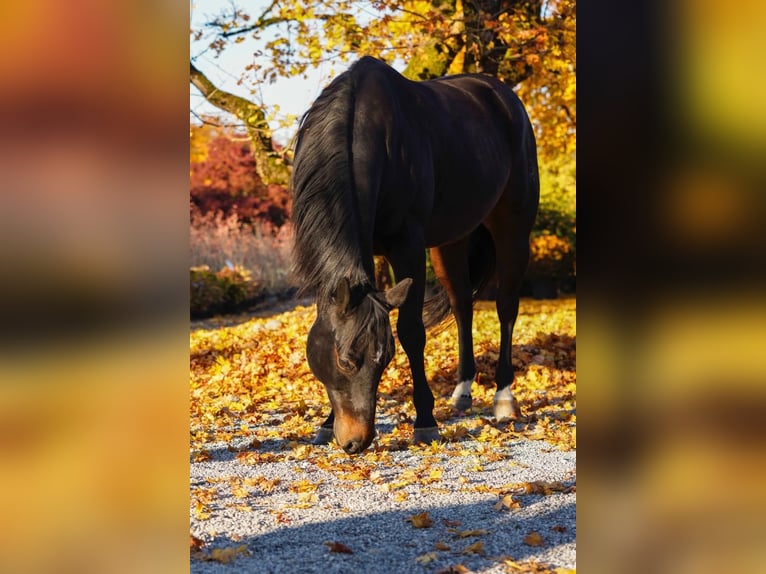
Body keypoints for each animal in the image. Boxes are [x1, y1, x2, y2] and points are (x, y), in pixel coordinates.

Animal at [291, 56, 539, 454]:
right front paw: (327, 424)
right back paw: (462, 391)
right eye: (346, 361)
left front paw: (425, 421)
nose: (355, 441)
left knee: (506, 308)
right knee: (462, 305)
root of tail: (504, 97)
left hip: (512, 230)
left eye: (386, 359)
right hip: (450, 243)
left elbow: (411, 331)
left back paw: (504, 398)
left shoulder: (407, 247)